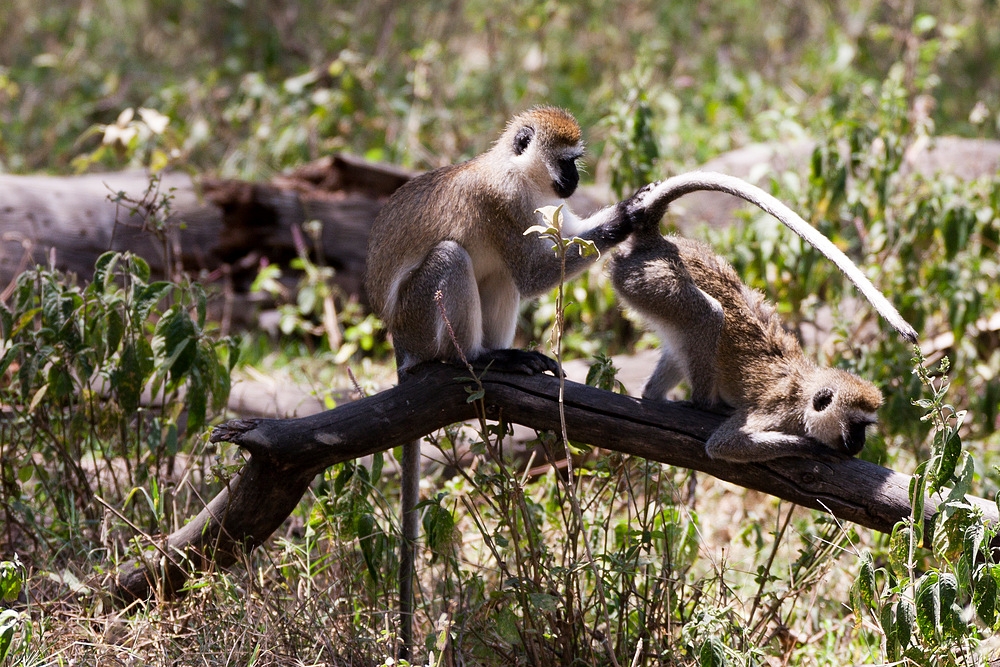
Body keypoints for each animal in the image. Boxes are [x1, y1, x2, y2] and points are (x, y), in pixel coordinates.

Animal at [364, 107, 652, 656]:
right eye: (567, 160)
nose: (574, 181)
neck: (517, 173)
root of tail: (398, 342)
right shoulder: (500, 205)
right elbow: (535, 272)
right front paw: (625, 217)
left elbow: (544, 251)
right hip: (420, 320)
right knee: (456, 257)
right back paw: (479, 362)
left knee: (496, 274)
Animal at [608, 175, 916, 462]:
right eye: (855, 425)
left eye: (865, 427)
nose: (860, 443)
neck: (804, 394)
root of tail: (655, 242)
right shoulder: (776, 413)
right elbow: (724, 444)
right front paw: (810, 446)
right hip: (653, 280)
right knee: (708, 314)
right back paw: (705, 404)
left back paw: (654, 394)